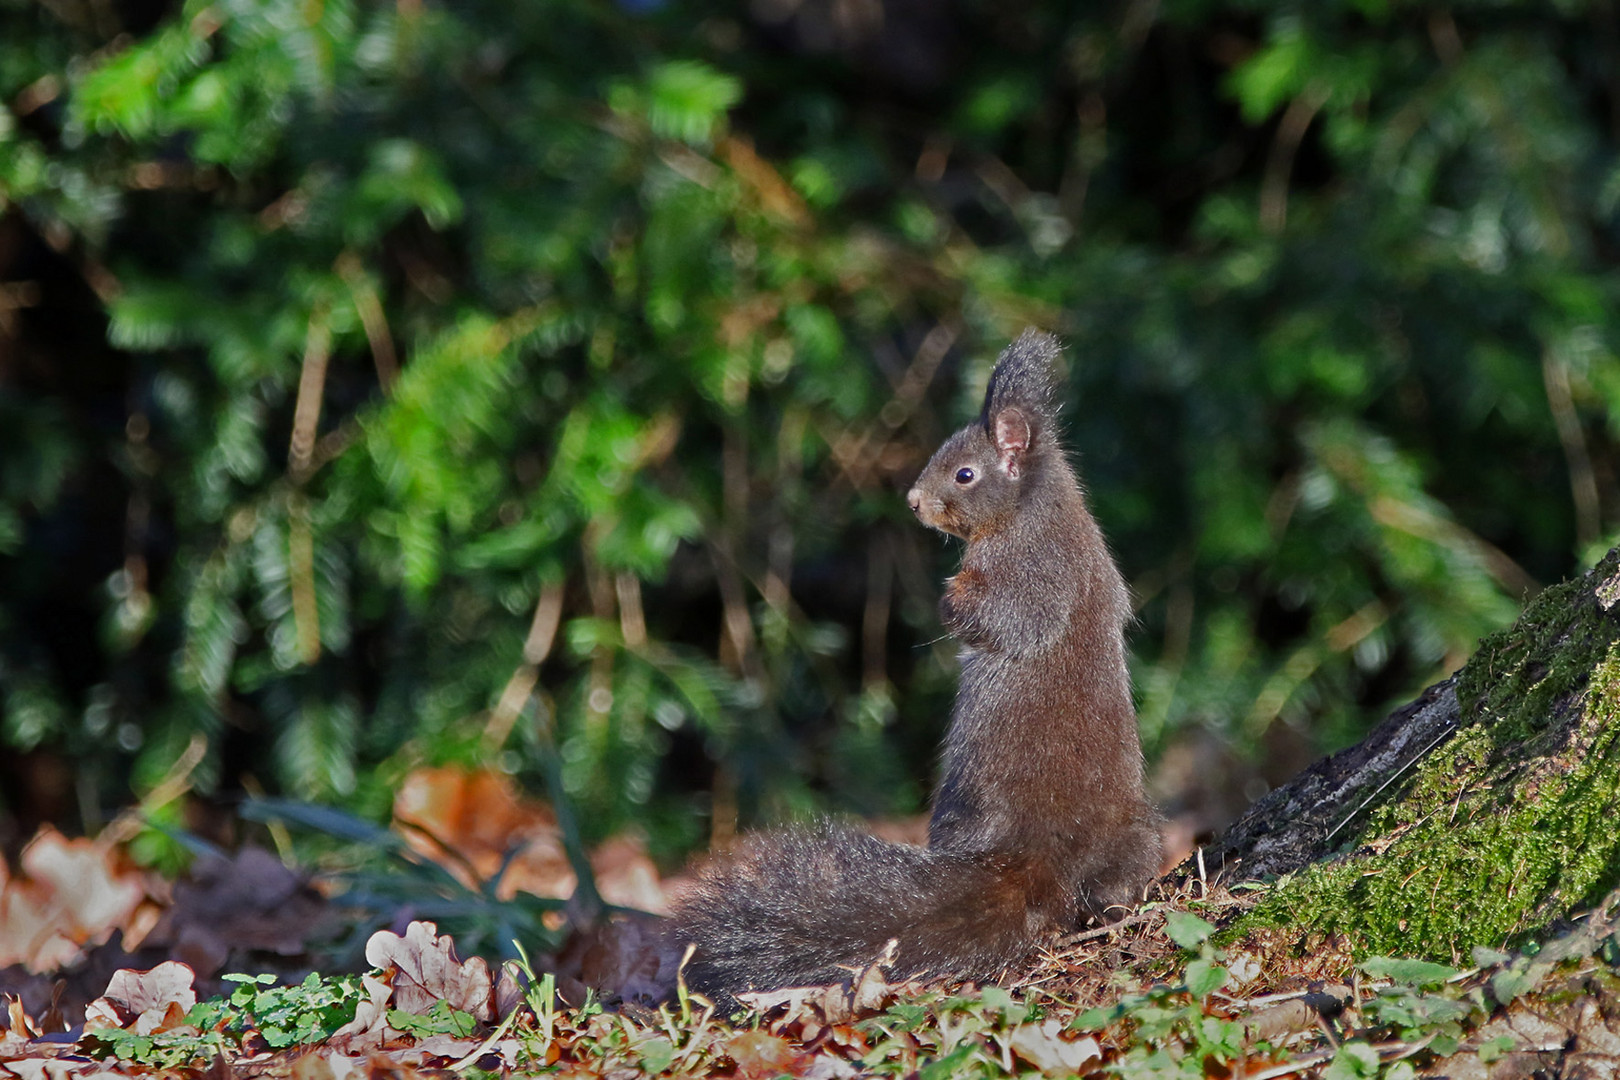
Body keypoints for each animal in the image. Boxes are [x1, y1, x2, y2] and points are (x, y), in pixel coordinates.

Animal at [660, 331, 1166, 1003]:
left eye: (964, 473)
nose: (913, 500)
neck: (1030, 505)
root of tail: (1040, 858)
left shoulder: (1031, 568)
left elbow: (1006, 616)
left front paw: (950, 598)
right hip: (1137, 838)